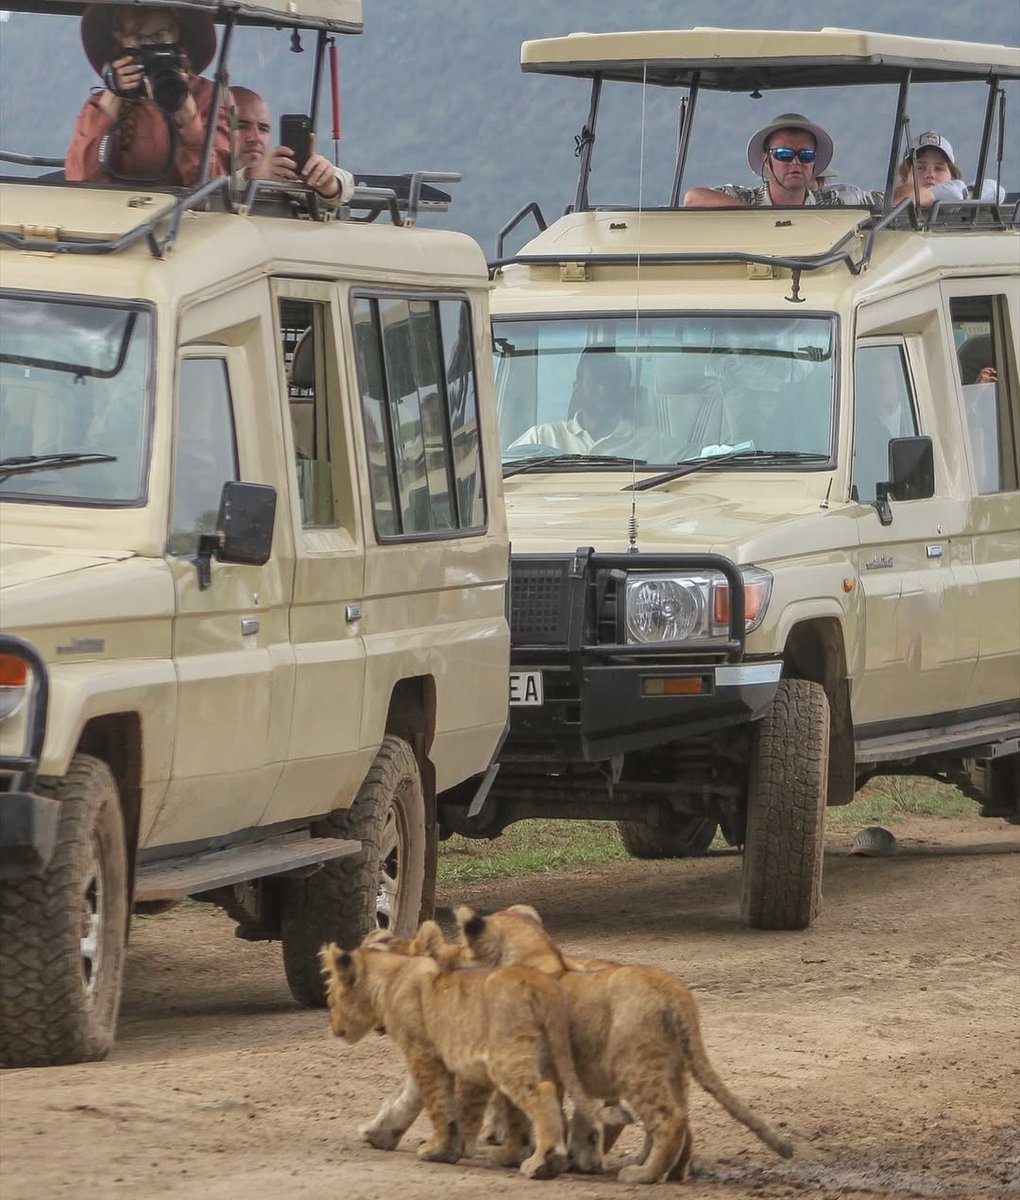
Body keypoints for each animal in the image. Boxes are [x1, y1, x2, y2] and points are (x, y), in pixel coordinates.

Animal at [318, 936, 603, 1179]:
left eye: (329, 996)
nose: (333, 1028)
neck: (392, 976)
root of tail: (543, 984)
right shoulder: (444, 1058)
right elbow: (428, 1100)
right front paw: (387, 1135)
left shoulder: (423, 1054)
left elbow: (439, 1104)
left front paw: (440, 1150)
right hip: (547, 1058)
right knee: (553, 1105)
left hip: (506, 1059)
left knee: (542, 1094)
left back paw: (543, 1162)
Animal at [454, 904, 794, 1183]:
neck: (538, 955)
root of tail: (675, 993)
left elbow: (522, 1113)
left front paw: (515, 1155)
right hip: (672, 1069)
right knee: (682, 1118)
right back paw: (672, 1171)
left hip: (631, 1065)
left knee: (668, 1120)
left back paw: (642, 1174)